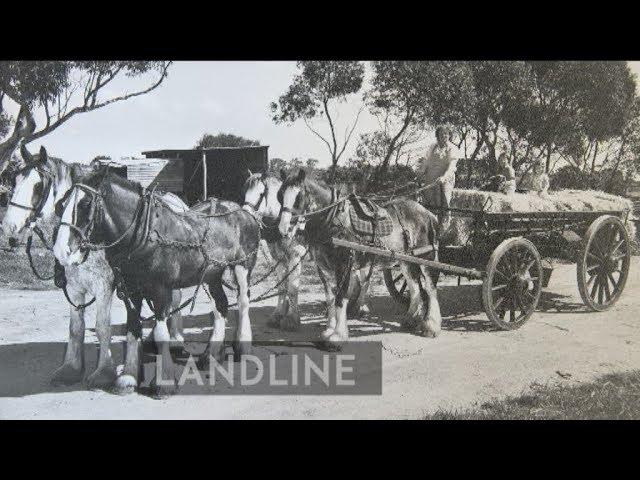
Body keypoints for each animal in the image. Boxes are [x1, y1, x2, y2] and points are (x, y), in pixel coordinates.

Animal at [1, 144, 188, 392]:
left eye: (38, 186)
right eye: (14, 180)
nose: (9, 227)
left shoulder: (104, 287)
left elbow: (102, 327)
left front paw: (103, 372)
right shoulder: (74, 287)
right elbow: (76, 328)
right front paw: (71, 369)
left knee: (174, 301)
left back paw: (175, 340)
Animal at [53, 169, 260, 394]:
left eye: (85, 203)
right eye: (61, 204)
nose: (61, 251)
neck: (144, 236)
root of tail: (243, 210)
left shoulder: (161, 291)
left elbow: (161, 333)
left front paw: (164, 383)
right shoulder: (131, 291)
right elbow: (132, 329)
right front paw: (129, 377)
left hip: (243, 267)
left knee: (243, 301)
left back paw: (242, 347)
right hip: (212, 274)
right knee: (220, 305)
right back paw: (211, 355)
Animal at [278, 169, 442, 348]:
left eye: (299, 196)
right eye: (280, 195)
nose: (284, 229)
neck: (334, 220)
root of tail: (428, 213)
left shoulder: (344, 264)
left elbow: (340, 298)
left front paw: (338, 336)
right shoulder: (323, 267)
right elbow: (330, 298)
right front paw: (329, 330)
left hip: (426, 256)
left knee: (430, 288)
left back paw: (431, 326)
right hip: (406, 260)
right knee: (414, 286)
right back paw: (410, 319)